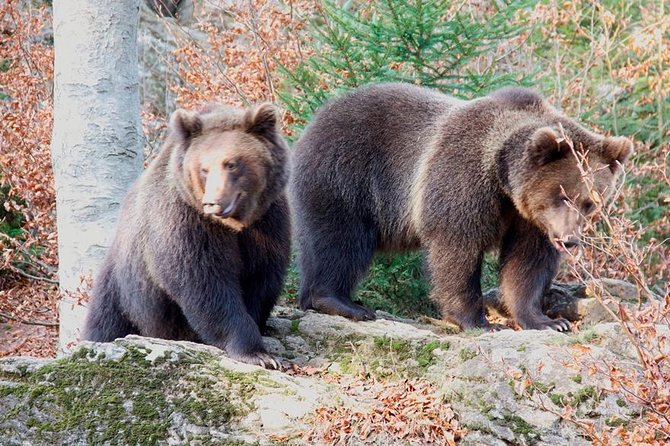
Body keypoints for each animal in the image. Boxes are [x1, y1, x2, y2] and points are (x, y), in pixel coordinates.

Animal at [83, 103, 291, 369]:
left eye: (231, 164)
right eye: (204, 169)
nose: (213, 202)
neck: (233, 225)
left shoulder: (267, 221)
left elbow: (262, 276)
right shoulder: (185, 221)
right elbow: (204, 282)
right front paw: (256, 353)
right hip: (122, 291)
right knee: (106, 325)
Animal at [291, 82, 632, 331]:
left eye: (591, 202)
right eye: (562, 195)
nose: (569, 239)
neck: (504, 180)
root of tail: (314, 119)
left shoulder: (530, 219)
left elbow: (527, 262)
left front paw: (547, 321)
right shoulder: (462, 179)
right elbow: (457, 248)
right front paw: (478, 321)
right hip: (343, 175)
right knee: (338, 239)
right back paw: (342, 302)